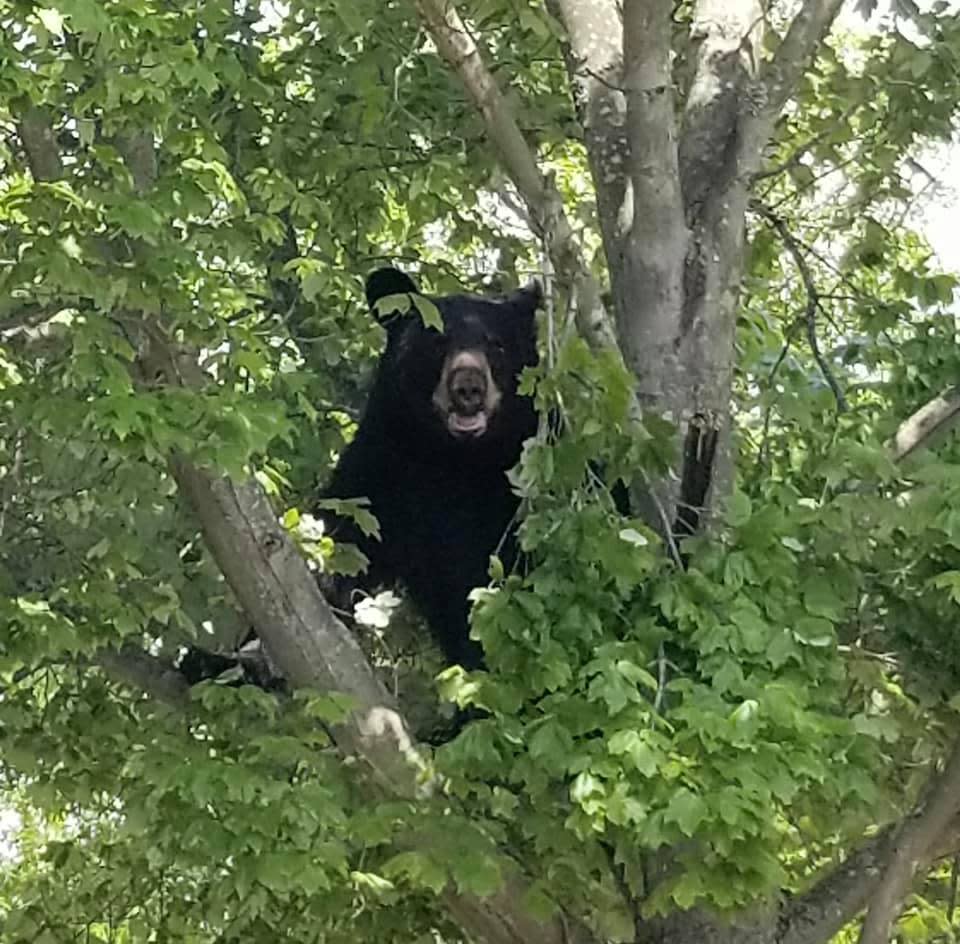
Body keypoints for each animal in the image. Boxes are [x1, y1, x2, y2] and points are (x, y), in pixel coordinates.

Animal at [322, 264, 540, 664]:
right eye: (437, 339)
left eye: (496, 344)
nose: (468, 388)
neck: (454, 458)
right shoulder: (384, 470)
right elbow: (343, 538)